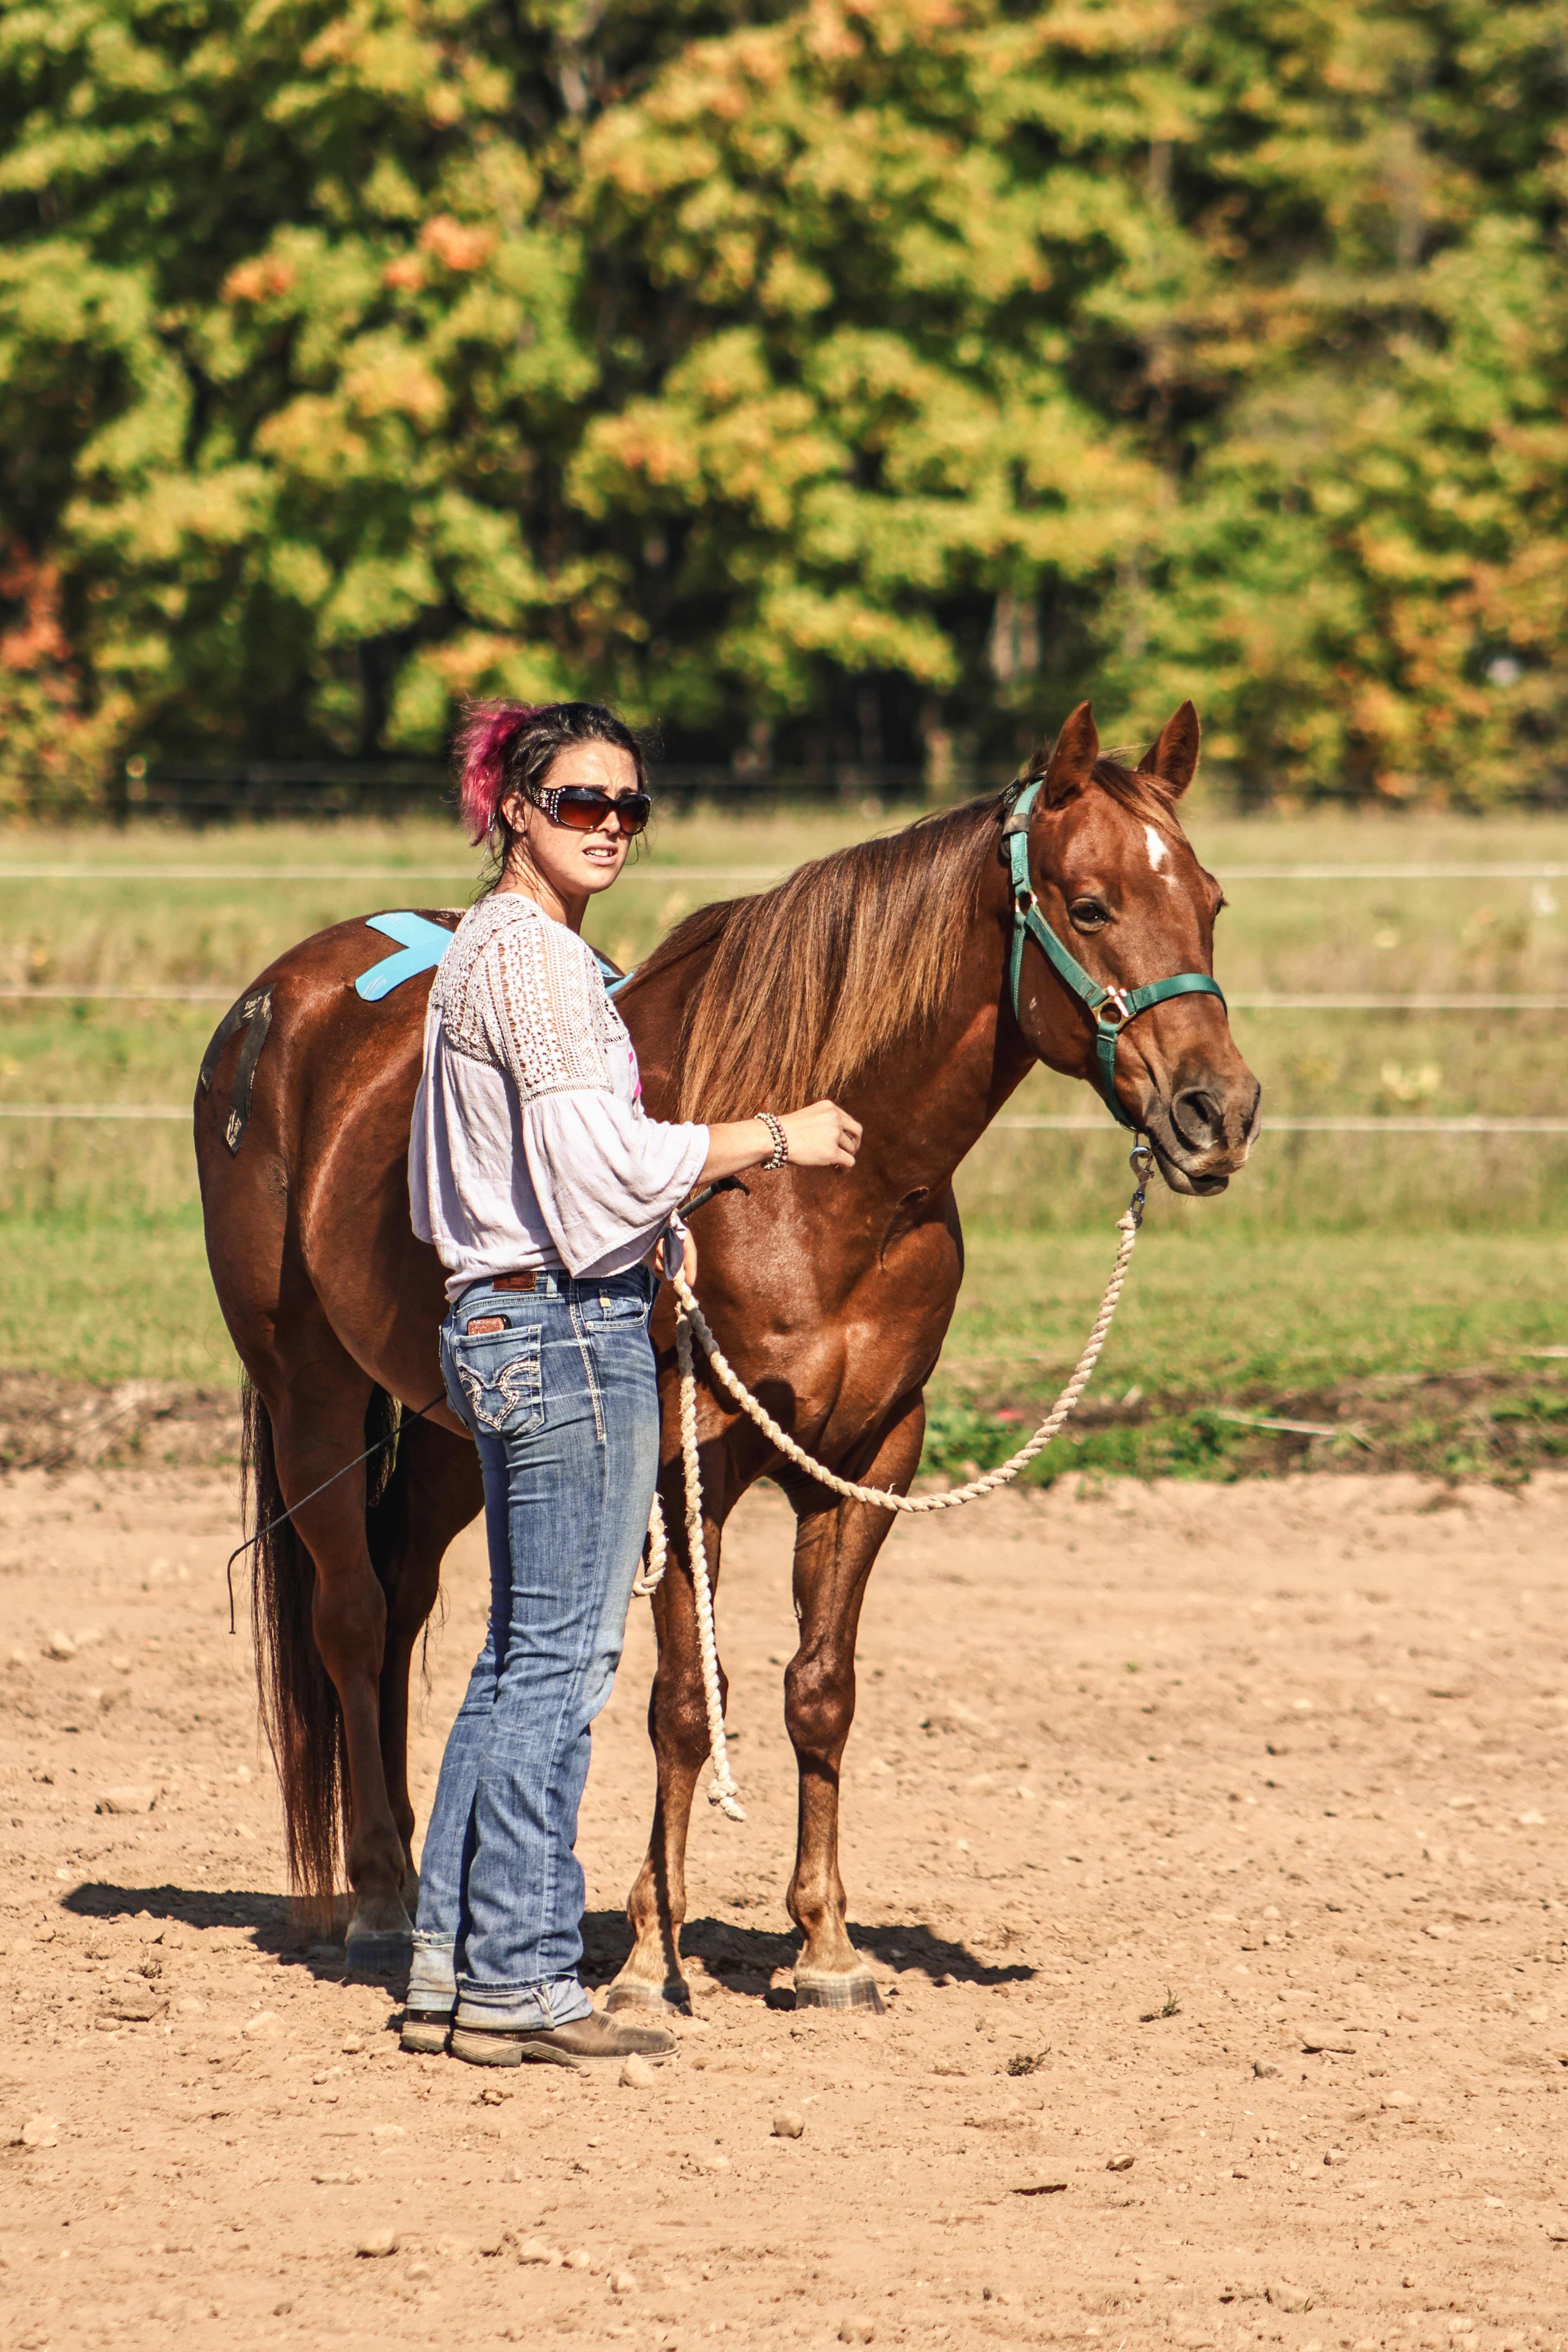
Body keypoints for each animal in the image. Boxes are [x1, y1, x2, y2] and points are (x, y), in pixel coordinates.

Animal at [195, 700, 1259, 2002]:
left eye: (1209, 900)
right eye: (1093, 904)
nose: (1219, 1112)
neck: (823, 1190)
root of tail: (273, 1003)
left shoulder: (868, 1454)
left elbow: (820, 1691)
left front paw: (826, 1943)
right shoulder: (680, 1461)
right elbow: (682, 1706)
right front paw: (655, 1950)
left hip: (458, 1430)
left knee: (402, 1610)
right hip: (308, 1390)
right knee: (348, 1617)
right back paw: (387, 1902)